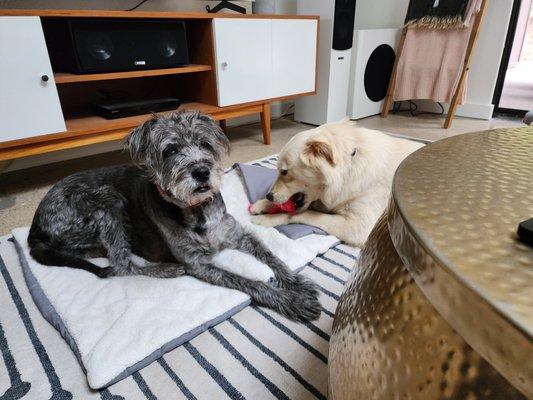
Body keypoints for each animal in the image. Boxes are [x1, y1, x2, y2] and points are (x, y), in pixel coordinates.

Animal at [28, 110, 320, 322]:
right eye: (170, 150)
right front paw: (291, 300)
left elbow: (273, 257)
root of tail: (34, 227)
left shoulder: (239, 235)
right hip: (107, 202)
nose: (202, 172)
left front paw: (296, 283)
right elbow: (249, 282)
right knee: (121, 265)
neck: (197, 209)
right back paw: (166, 269)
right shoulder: (197, 263)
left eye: (205, 144)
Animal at [250, 118, 424, 247]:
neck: (348, 167)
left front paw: (267, 219)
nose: (269, 195)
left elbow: (299, 214)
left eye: (284, 171)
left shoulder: (357, 226)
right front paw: (262, 204)